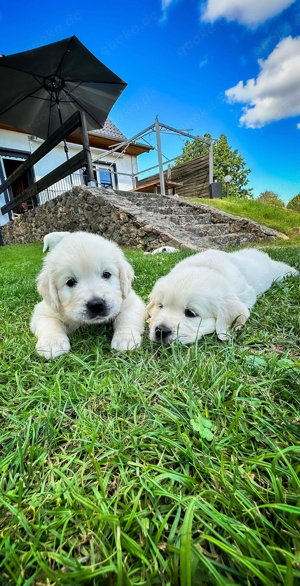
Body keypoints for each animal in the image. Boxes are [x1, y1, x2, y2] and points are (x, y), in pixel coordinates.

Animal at [31, 230, 146, 358]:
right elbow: (49, 322)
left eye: (106, 274)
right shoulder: (44, 309)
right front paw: (52, 342)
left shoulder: (131, 302)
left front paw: (125, 338)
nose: (96, 305)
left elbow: (126, 317)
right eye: (70, 282)